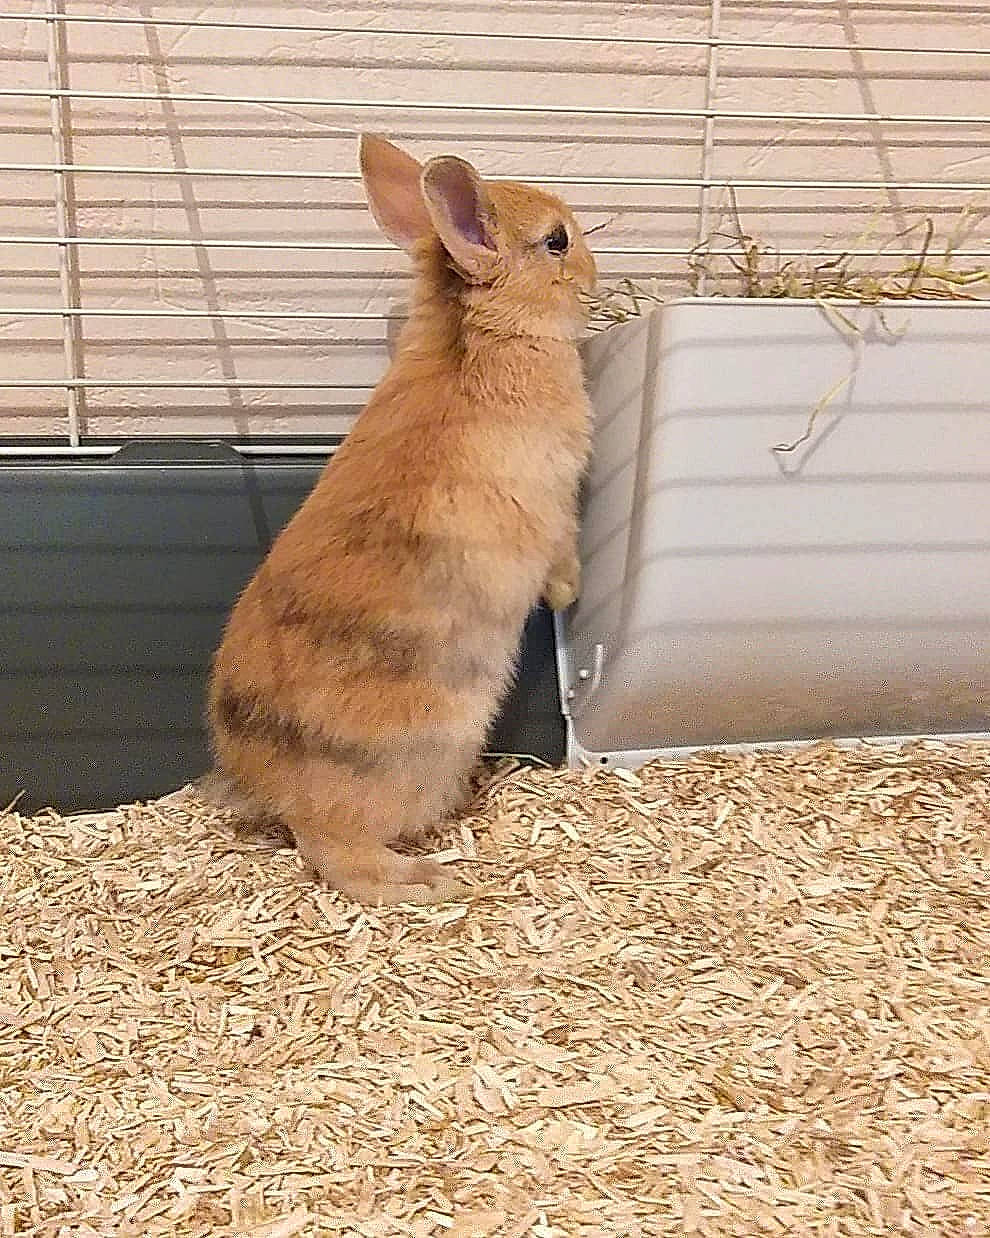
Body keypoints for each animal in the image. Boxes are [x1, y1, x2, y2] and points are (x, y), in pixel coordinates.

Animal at [205, 133, 597, 905]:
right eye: (557, 242)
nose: (598, 273)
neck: (481, 336)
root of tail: (269, 784)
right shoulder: (554, 497)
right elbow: (562, 547)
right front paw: (570, 592)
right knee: (336, 853)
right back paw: (426, 880)